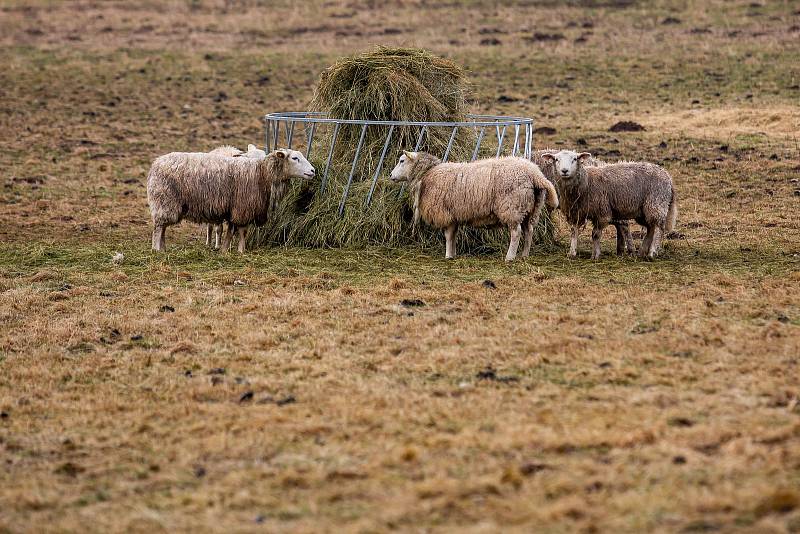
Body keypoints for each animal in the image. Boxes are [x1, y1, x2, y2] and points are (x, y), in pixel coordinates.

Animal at [147, 149, 316, 253]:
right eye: (295, 158)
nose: (313, 171)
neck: (262, 173)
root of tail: (155, 164)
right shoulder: (243, 207)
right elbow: (242, 231)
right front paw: (241, 250)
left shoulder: (237, 208)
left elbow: (233, 231)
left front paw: (226, 249)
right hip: (164, 200)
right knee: (158, 228)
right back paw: (156, 249)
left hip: (165, 204)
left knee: (162, 228)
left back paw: (163, 249)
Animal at [390, 152, 560, 262]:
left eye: (402, 161)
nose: (391, 176)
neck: (427, 174)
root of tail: (535, 173)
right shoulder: (454, 215)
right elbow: (453, 235)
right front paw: (453, 254)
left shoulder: (447, 213)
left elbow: (448, 235)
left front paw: (448, 255)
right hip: (531, 208)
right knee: (529, 230)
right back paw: (524, 255)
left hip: (512, 207)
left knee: (516, 233)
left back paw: (510, 257)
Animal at [540, 150, 680, 260]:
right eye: (556, 159)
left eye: (575, 159)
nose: (564, 171)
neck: (586, 183)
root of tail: (667, 176)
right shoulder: (576, 212)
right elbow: (574, 232)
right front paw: (572, 253)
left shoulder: (602, 212)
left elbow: (595, 234)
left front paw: (595, 255)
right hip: (644, 210)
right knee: (651, 228)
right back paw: (641, 252)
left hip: (656, 203)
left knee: (659, 228)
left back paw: (652, 253)